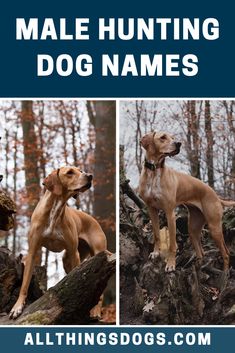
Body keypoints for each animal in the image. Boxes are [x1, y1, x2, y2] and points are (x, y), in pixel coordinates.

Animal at [9, 166, 107, 318]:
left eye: (80, 171)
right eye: (70, 172)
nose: (90, 176)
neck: (55, 209)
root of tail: (94, 220)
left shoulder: (73, 253)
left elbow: (78, 279)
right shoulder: (32, 252)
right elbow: (24, 284)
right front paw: (17, 307)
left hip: (97, 254)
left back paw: (95, 311)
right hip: (66, 259)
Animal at [139, 131, 232, 270]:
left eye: (173, 137)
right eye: (163, 137)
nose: (178, 143)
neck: (154, 171)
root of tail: (216, 196)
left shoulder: (170, 213)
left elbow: (172, 245)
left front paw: (170, 264)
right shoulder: (152, 209)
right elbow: (156, 235)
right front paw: (155, 253)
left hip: (214, 226)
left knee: (225, 253)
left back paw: (224, 273)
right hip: (193, 228)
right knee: (201, 252)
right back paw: (198, 265)